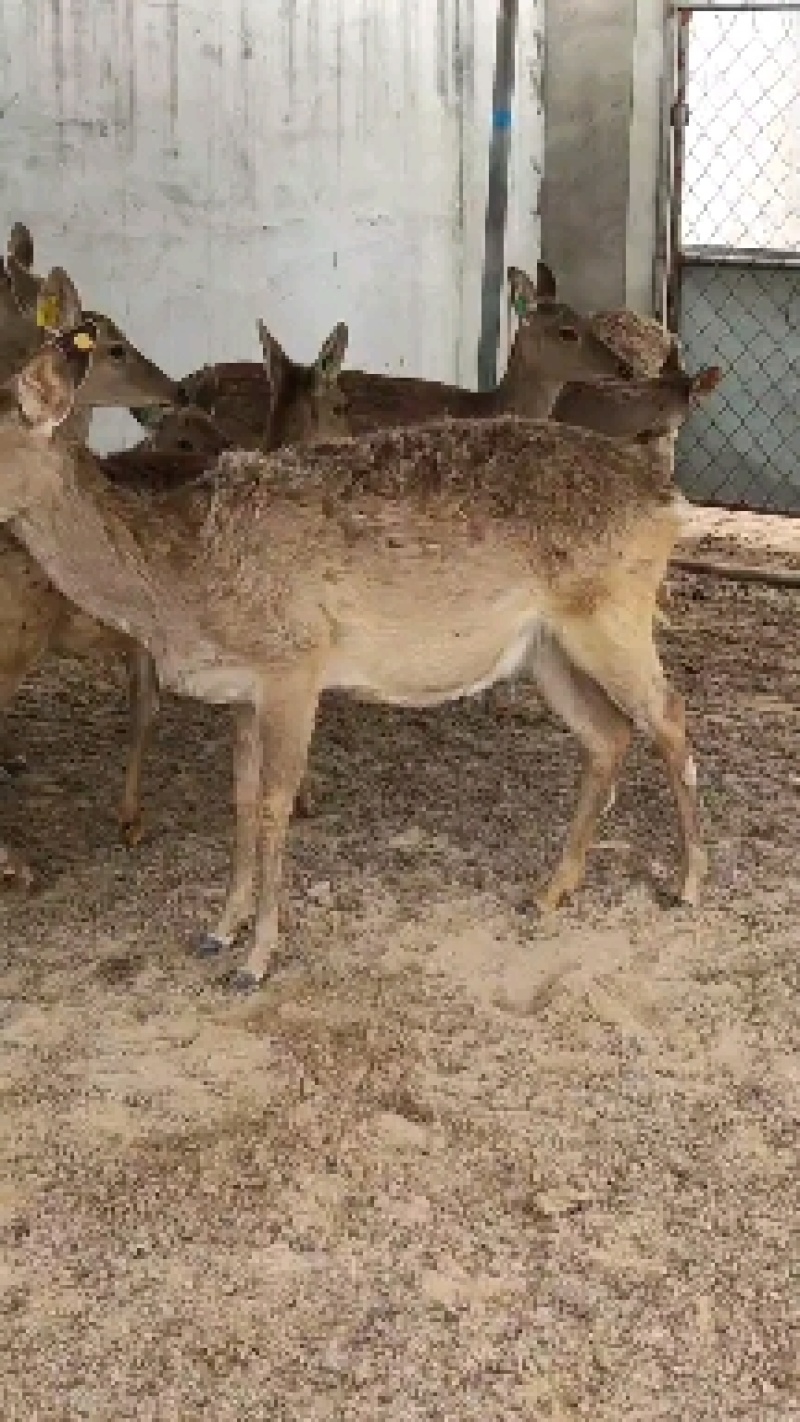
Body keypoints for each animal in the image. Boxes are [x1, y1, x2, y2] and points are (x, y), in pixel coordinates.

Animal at [0, 302, 721, 989]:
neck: (180, 583)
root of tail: (670, 499)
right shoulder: (243, 690)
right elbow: (241, 801)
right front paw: (219, 929)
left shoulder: (295, 660)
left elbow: (275, 805)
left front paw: (256, 959)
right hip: (546, 645)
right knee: (608, 734)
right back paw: (551, 891)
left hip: (613, 610)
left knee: (669, 716)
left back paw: (687, 883)